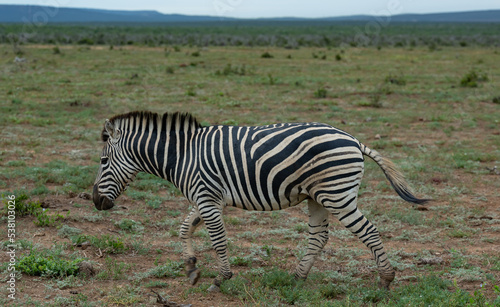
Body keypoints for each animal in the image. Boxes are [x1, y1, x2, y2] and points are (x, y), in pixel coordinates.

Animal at [93, 110, 426, 292]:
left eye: (103, 160)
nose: (95, 201)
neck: (182, 155)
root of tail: (354, 140)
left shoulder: (207, 197)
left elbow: (218, 240)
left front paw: (221, 278)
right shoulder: (207, 197)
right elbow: (185, 228)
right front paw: (191, 268)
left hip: (337, 194)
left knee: (368, 230)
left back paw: (385, 279)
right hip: (317, 196)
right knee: (319, 236)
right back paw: (297, 277)